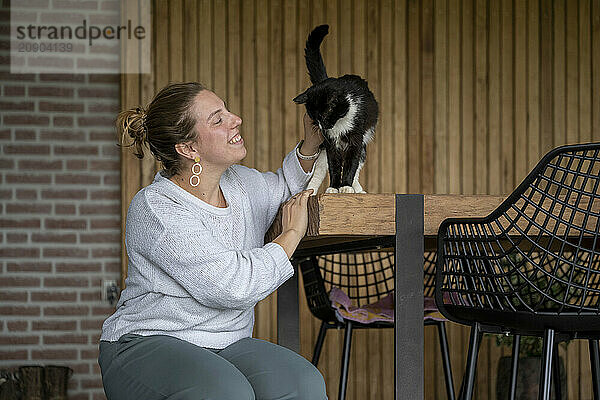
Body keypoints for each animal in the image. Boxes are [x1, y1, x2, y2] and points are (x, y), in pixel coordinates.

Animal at [292, 24, 378, 194]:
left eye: (324, 116)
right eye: (314, 118)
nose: (322, 127)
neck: (340, 124)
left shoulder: (356, 139)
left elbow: (352, 165)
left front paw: (345, 186)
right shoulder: (330, 144)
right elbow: (334, 166)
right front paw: (333, 187)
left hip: (363, 144)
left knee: (358, 165)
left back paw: (357, 189)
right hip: (323, 151)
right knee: (319, 171)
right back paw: (310, 191)